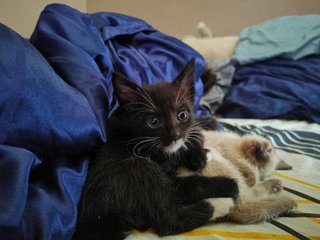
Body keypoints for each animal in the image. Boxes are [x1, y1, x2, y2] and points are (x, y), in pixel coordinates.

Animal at [72, 58, 238, 240]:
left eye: (182, 115)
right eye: (153, 122)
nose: (174, 135)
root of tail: (93, 221)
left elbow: (195, 128)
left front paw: (199, 151)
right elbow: (190, 184)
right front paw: (228, 183)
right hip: (136, 168)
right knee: (168, 222)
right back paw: (222, 202)